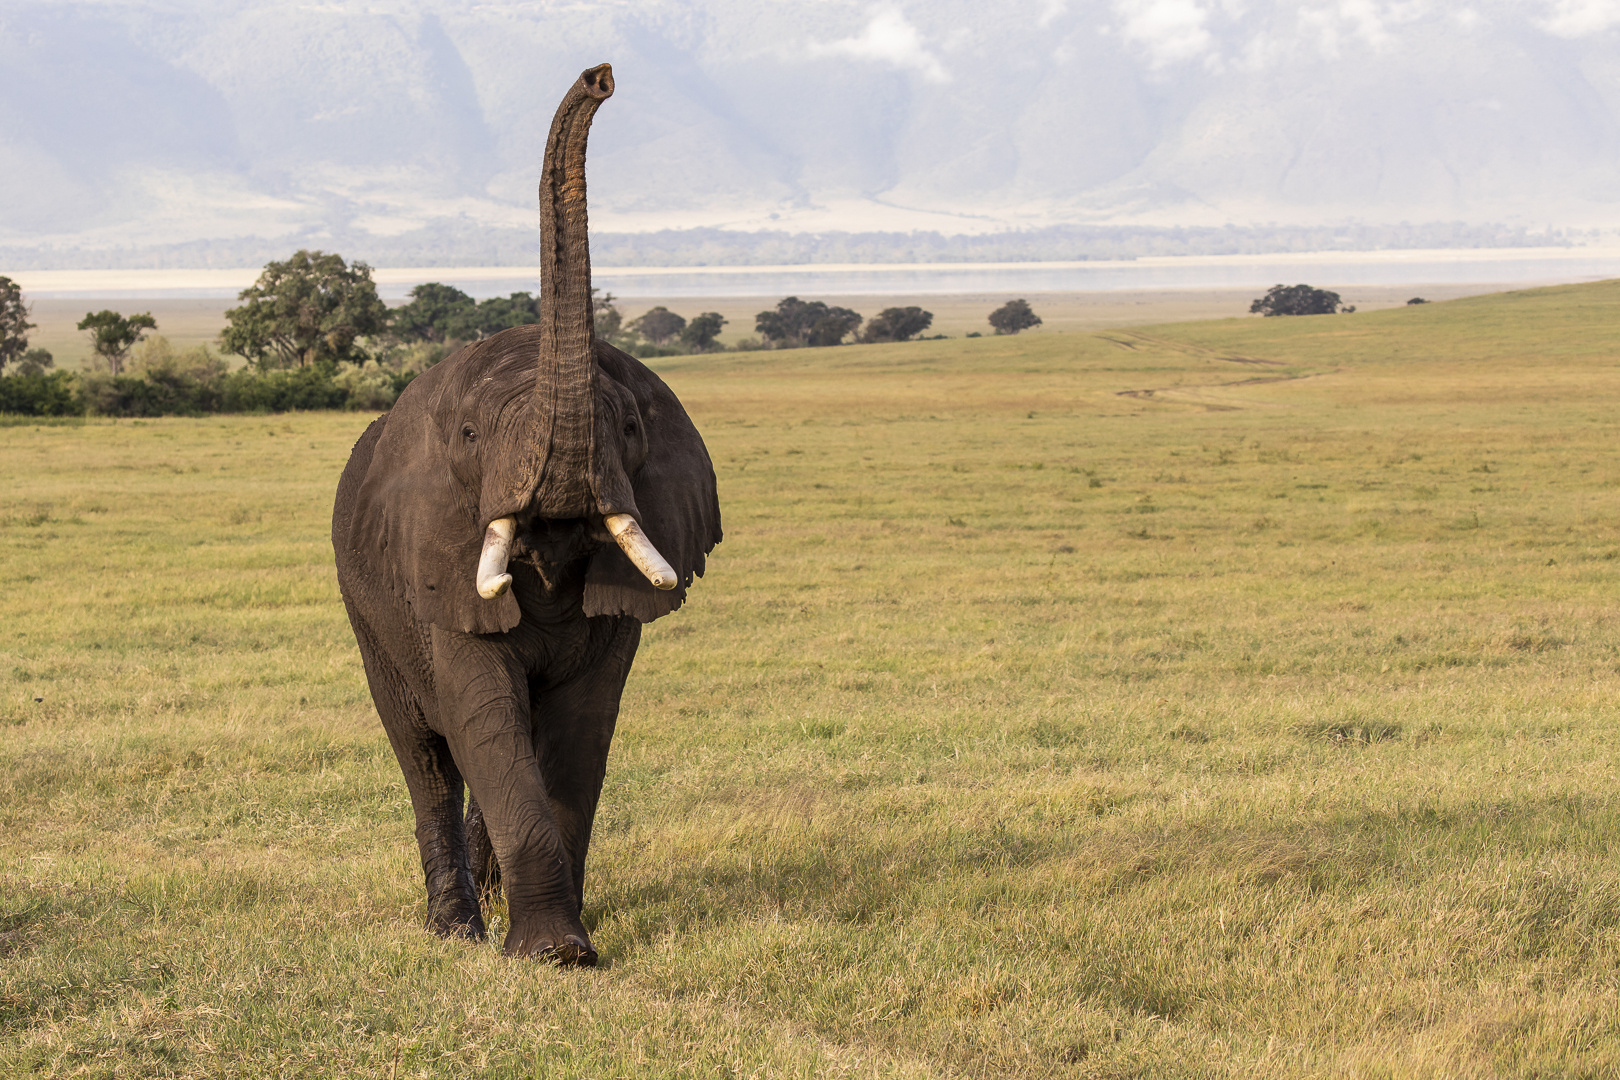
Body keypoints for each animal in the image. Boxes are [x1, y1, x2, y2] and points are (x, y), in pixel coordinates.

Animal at [328, 63, 722, 965]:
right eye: (472, 435)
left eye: (631, 429)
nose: (600, 78)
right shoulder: (433, 559)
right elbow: (482, 717)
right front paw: (550, 955)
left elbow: (578, 732)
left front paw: (564, 948)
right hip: (368, 615)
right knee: (428, 758)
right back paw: (454, 927)